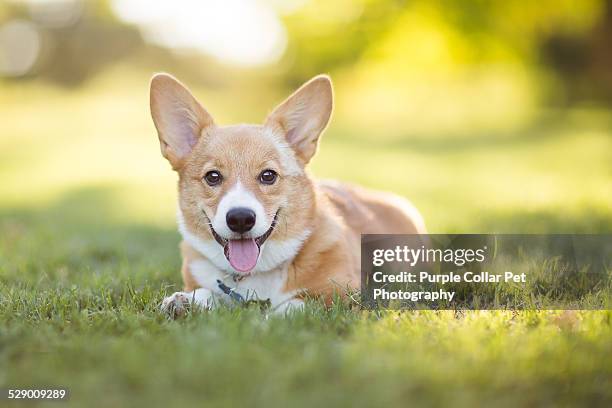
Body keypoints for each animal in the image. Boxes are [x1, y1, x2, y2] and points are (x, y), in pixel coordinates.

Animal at [151, 74, 424, 316]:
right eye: (213, 176)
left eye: (268, 175)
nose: (240, 219)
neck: (254, 274)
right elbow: (208, 292)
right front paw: (183, 301)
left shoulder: (344, 294)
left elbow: (296, 304)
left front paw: (269, 317)